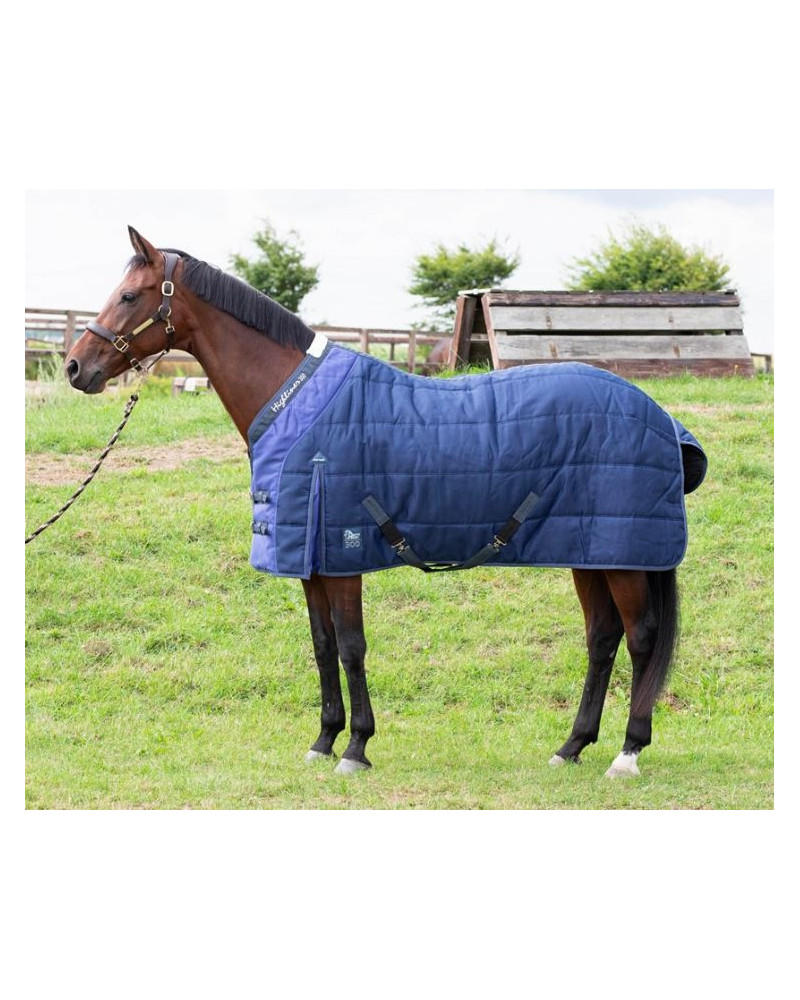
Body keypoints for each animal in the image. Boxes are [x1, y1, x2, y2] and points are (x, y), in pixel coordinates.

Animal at [64, 227, 706, 779]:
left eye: (129, 295)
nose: (75, 367)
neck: (297, 405)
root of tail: (659, 416)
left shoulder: (342, 554)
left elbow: (352, 647)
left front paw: (356, 747)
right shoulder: (311, 561)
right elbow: (323, 646)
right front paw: (324, 740)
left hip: (624, 557)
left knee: (641, 639)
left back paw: (627, 753)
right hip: (589, 550)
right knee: (602, 639)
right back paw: (571, 746)